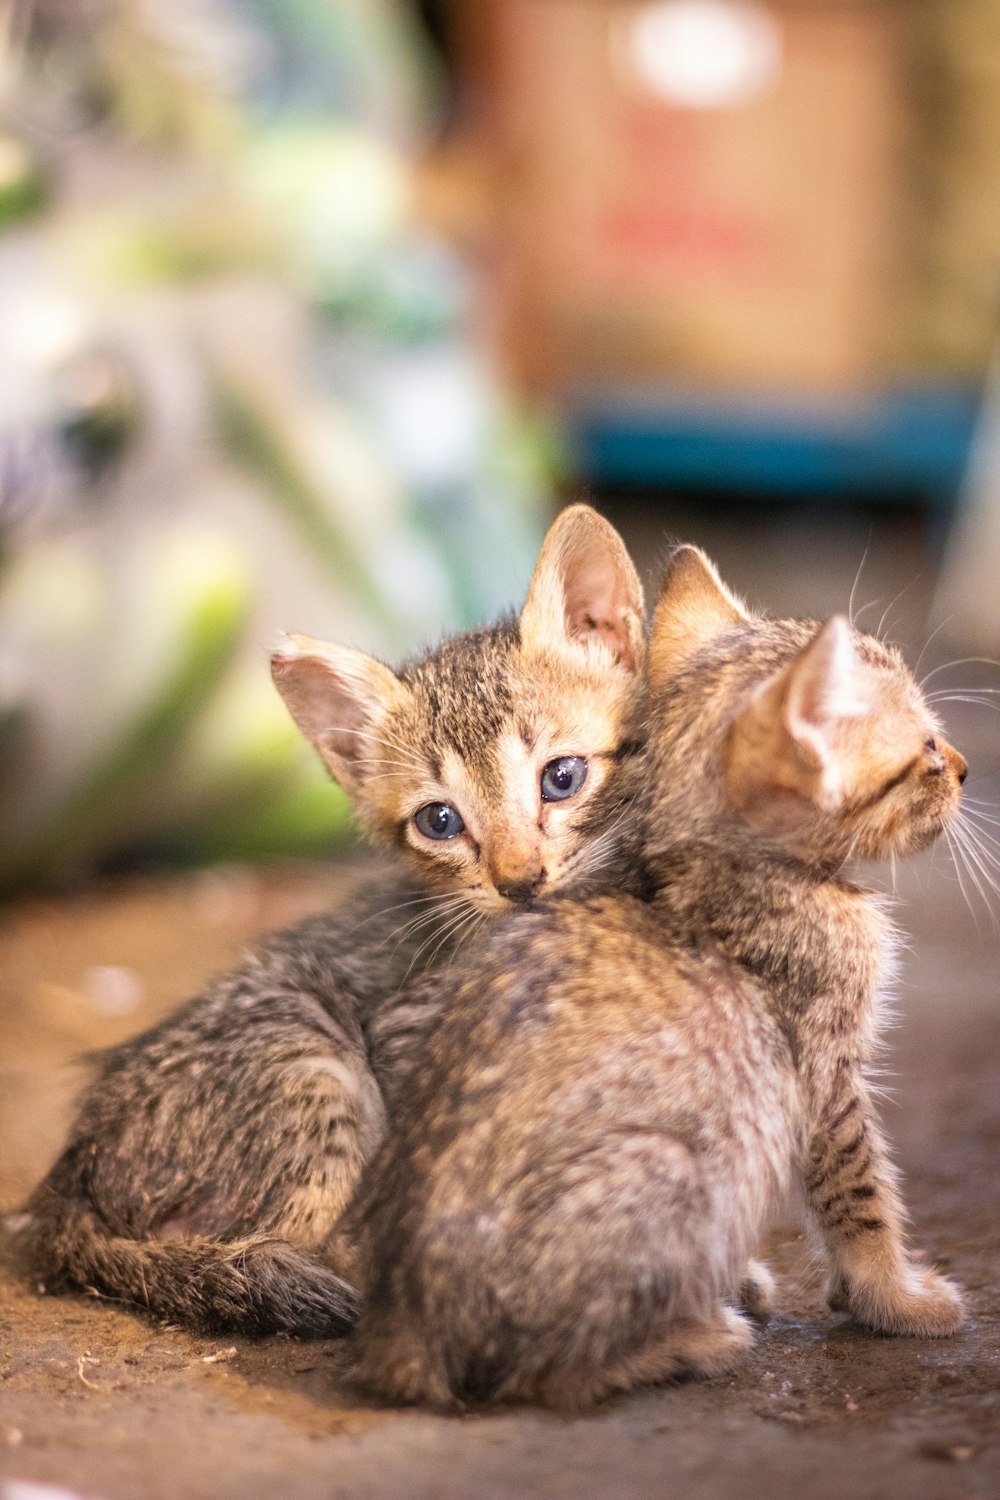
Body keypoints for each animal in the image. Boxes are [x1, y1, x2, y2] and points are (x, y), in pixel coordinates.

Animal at [17, 504, 650, 1338]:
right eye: (440, 821)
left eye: (563, 778)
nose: (518, 883)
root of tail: (69, 1176)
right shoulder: (412, 1036)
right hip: (310, 1056)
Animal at [352, 546, 971, 1410]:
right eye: (923, 750)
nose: (967, 768)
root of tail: (402, 1329)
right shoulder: (822, 1072)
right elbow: (860, 1193)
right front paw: (897, 1297)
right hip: (680, 1168)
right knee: (542, 1377)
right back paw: (691, 1340)